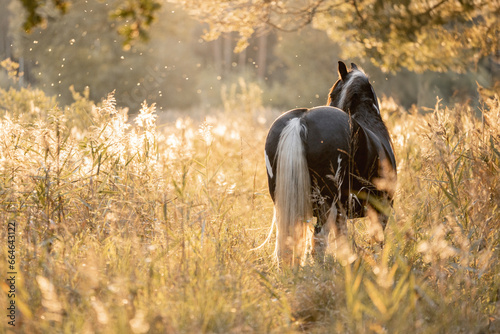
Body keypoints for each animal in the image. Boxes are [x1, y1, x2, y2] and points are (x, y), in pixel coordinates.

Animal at [264, 60, 396, 266]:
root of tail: (300, 120)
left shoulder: (342, 213)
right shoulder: (382, 208)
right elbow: (377, 244)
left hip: (285, 203)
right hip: (324, 205)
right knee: (318, 242)